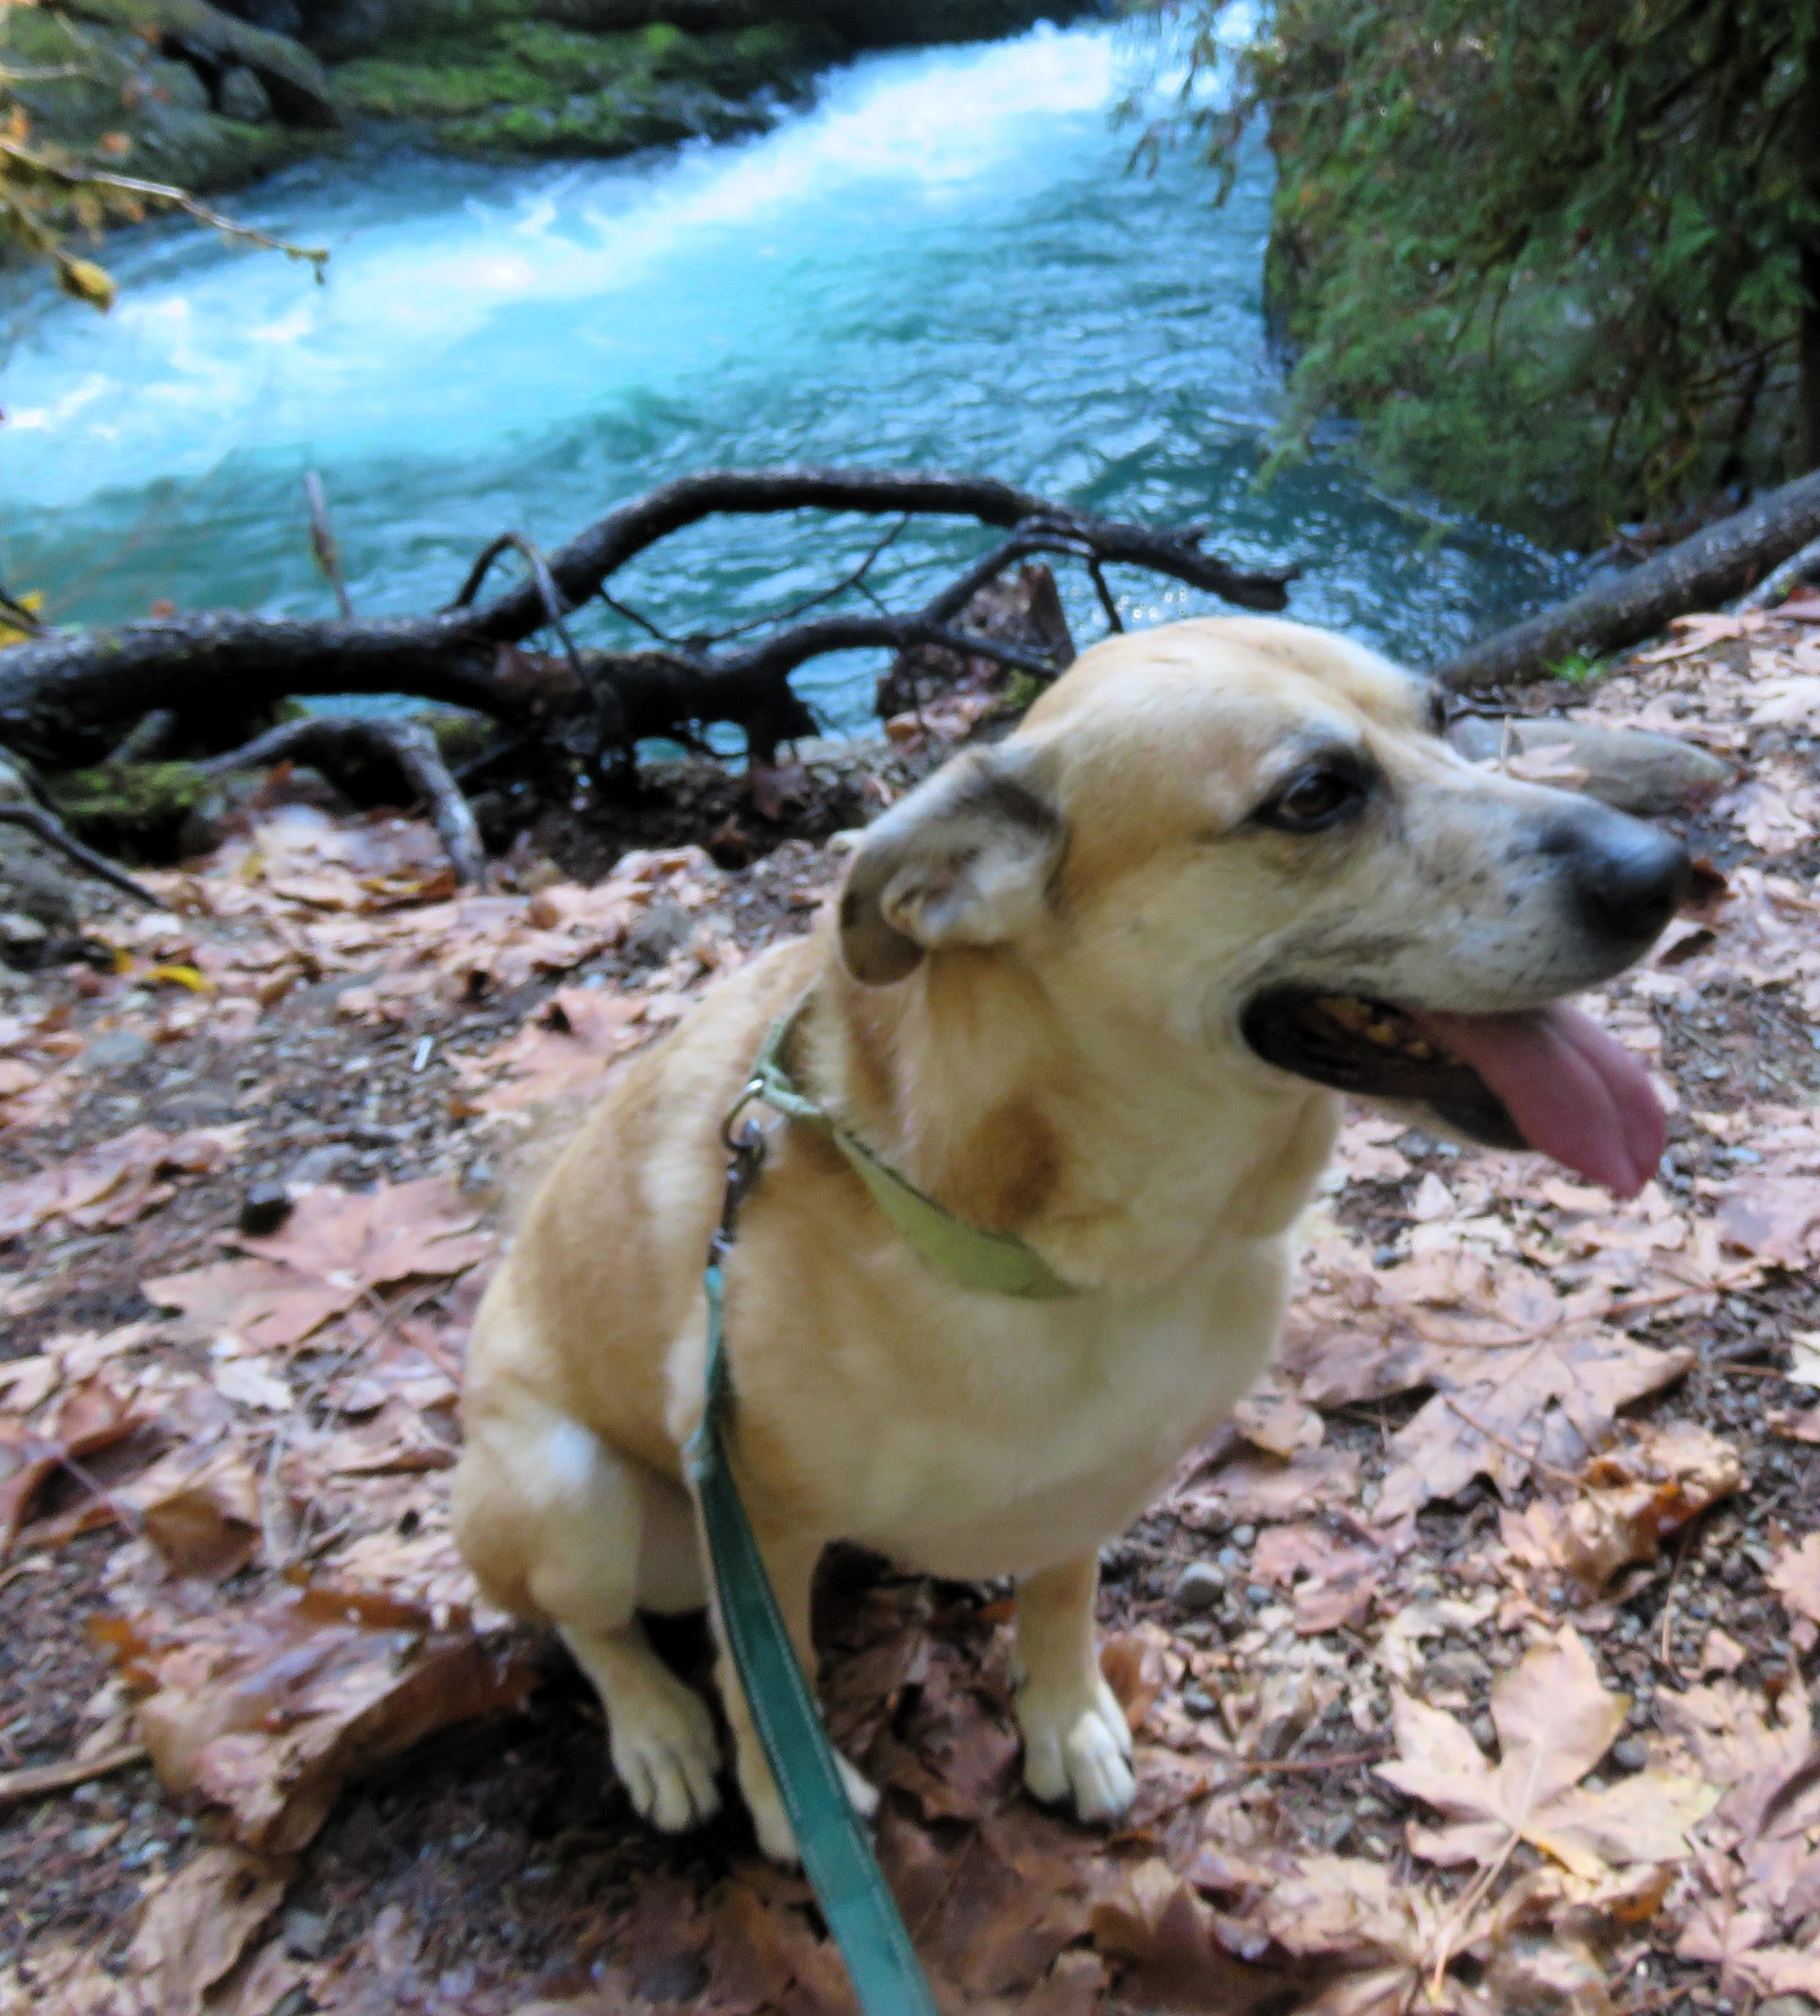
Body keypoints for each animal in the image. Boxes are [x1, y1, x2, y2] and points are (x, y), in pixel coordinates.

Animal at [455, 609, 1693, 1854]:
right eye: (1311, 796)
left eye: (1444, 715)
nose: (1663, 869)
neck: (1078, 1260)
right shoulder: (750, 1516)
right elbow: (766, 1674)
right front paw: (790, 1799)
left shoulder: (1095, 1482)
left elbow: (1059, 1594)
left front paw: (1059, 1717)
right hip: (570, 1489)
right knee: (593, 1628)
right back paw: (658, 1728)